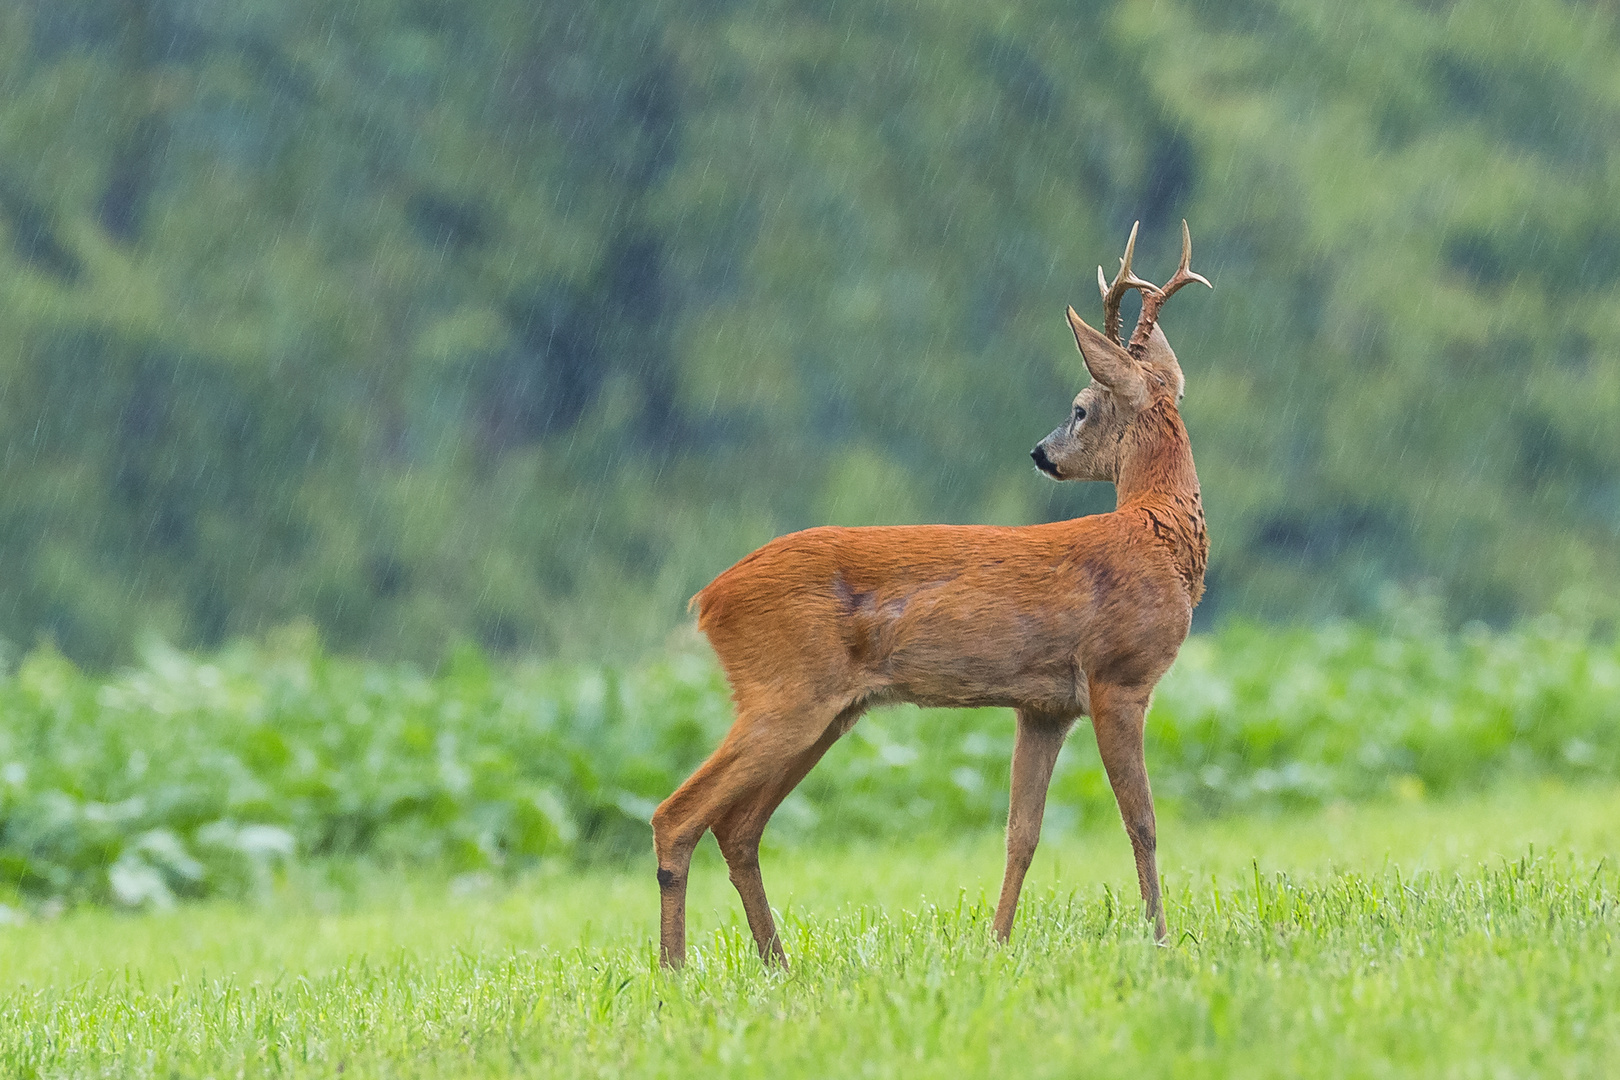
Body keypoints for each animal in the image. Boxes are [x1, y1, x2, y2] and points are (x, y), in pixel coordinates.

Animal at [651, 221, 1211, 971]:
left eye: (1079, 409)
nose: (1040, 453)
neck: (1156, 534)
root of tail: (707, 599)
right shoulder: (1118, 678)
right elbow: (1142, 821)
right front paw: (1160, 939)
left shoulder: (1045, 706)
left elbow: (1022, 833)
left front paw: (997, 943)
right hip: (784, 693)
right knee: (678, 814)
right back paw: (676, 970)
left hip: (827, 710)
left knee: (737, 826)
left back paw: (777, 964)